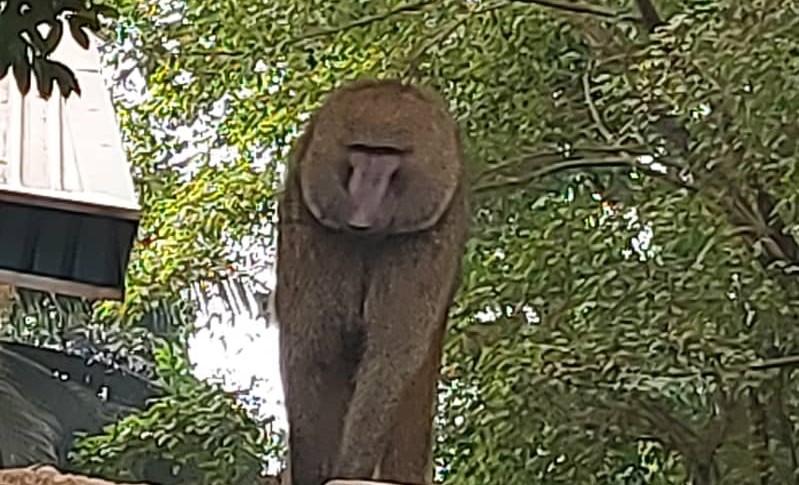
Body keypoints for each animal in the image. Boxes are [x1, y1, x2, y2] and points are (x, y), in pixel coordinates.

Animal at [275, 78, 469, 485]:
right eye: (361, 150)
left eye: (388, 153)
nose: (362, 212)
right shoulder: (308, 223)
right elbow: (312, 353)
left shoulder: (430, 232)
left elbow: (389, 356)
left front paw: (350, 468)